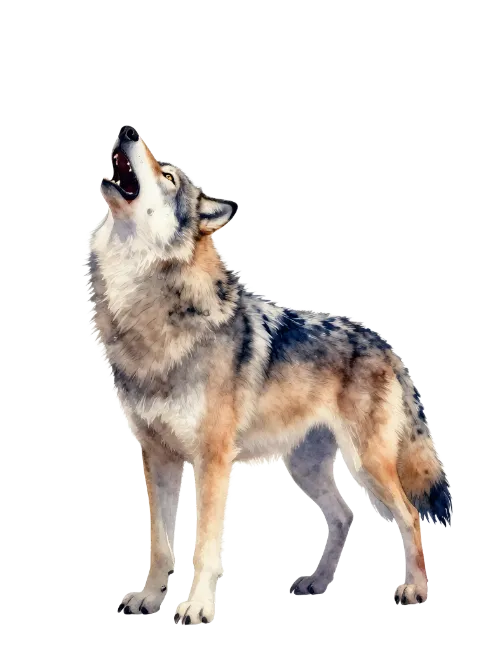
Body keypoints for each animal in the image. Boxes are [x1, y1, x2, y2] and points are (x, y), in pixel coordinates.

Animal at [86, 125, 452, 622]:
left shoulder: (212, 461)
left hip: (368, 464)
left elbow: (203, 546)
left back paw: (414, 590)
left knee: (408, 516)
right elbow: (160, 544)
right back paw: (316, 583)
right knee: (345, 515)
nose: (126, 130)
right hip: (304, 467)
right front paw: (148, 598)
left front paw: (196, 608)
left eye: (168, 174)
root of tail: (387, 347)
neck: (147, 305)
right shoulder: (156, 456)